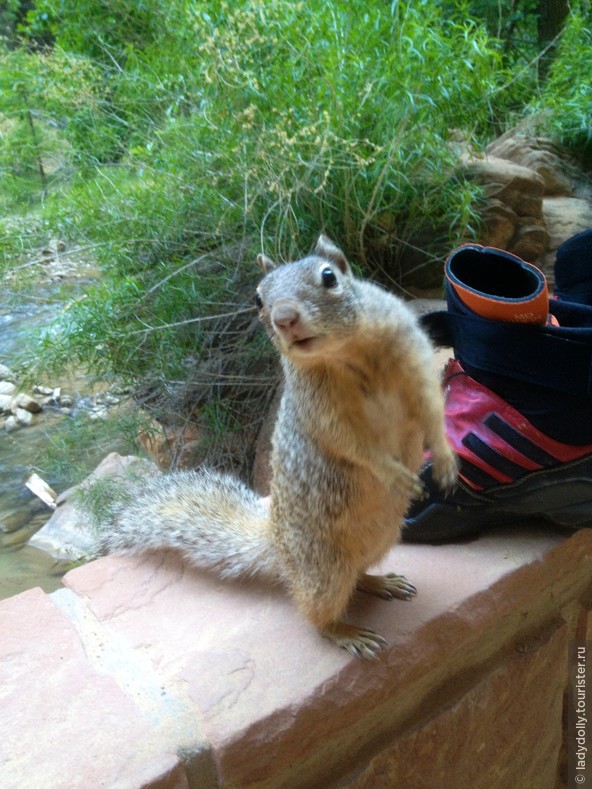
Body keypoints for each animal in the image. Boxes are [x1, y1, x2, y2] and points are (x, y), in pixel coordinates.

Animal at [98, 235, 458, 660]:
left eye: (329, 276)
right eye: (257, 298)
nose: (285, 317)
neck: (350, 353)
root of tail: (278, 546)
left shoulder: (414, 362)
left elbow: (432, 410)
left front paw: (445, 461)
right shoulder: (318, 408)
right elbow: (351, 444)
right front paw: (395, 474)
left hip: (380, 542)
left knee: (358, 576)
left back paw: (382, 582)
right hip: (324, 570)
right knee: (317, 613)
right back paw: (347, 632)